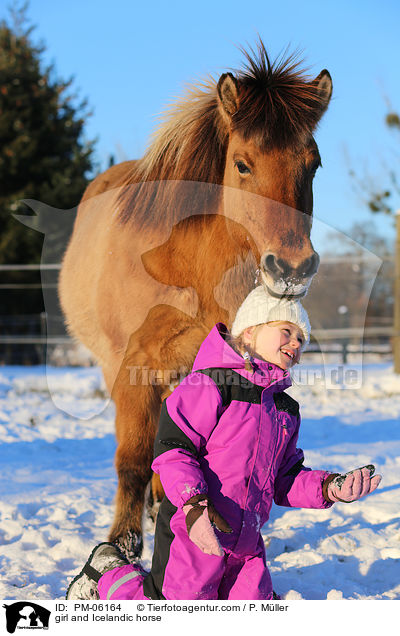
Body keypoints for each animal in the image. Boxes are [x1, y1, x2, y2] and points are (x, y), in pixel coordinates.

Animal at [58, 41, 332, 556]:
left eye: (313, 164)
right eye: (242, 164)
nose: (292, 267)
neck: (183, 267)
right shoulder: (130, 367)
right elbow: (133, 458)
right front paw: (123, 544)